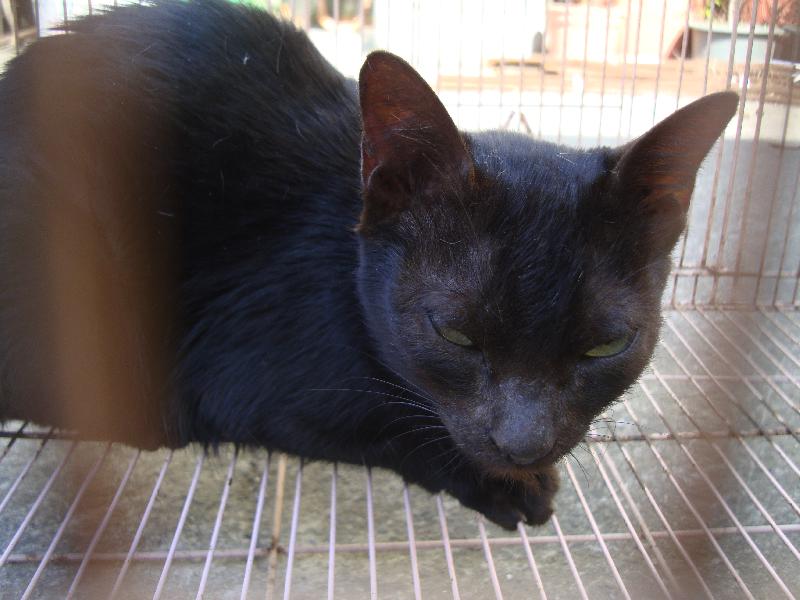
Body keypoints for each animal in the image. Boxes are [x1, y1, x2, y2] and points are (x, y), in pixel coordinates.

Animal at [0, 0, 737, 529]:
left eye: (606, 345)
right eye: (455, 334)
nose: (523, 445)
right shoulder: (246, 375)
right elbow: (391, 427)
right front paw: (505, 485)